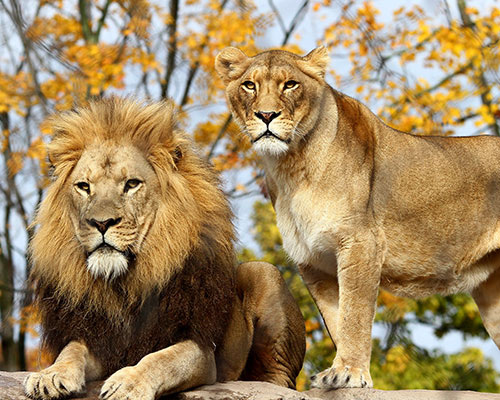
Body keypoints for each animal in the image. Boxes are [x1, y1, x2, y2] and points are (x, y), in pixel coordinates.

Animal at [24, 97, 304, 400]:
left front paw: (128, 383)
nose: (101, 223)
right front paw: (50, 375)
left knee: (279, 378)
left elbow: (161, 360)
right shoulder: (100, 340)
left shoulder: (200, 348)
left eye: (132, 184)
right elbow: (71, 351)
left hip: (263, 273)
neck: (124, 284)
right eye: (84, 187)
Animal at [217, 45, 500, 390]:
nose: (267, 116)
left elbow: (355, 315)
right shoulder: (314, 262)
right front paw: (347, 374)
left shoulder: (361, 243)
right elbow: (337, 319)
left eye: (290, 84)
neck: (290, 167)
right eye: (249, 85)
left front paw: (348, 372)